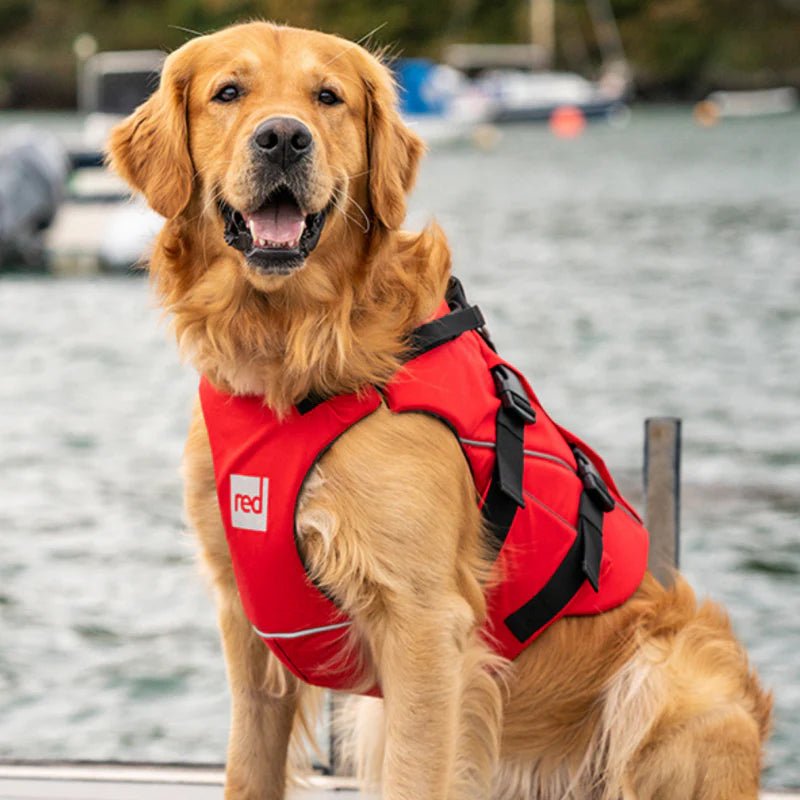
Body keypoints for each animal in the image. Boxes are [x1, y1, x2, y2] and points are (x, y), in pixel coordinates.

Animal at [109, 21, 772, 796]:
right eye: (228, 92)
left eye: (327, 97)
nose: (283, 138)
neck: (294, 354)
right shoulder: (246, 621)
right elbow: (250, 769)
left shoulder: (424, 622)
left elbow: (417, 771)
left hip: (675, 679)